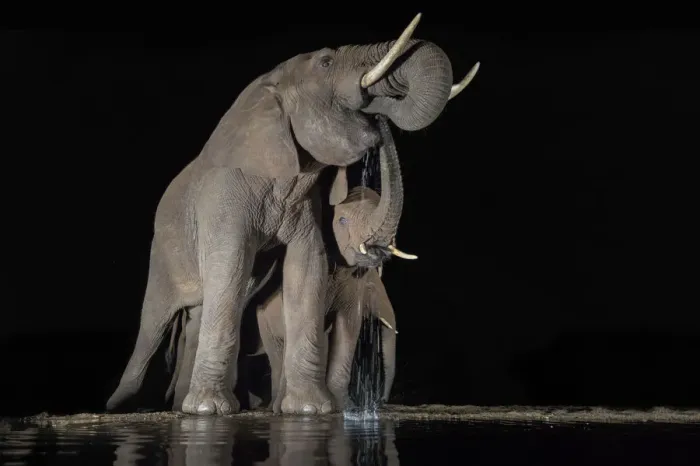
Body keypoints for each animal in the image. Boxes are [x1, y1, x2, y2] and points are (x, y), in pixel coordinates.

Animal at [106, 13, 479, 415]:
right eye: (326, 62)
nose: (375, 118)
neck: (267, 87)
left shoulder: (304, 208)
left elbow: (306, 268)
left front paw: (309, 410)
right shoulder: (223, 199)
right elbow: (230, 268)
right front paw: (211, 412)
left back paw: (178, 406)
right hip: (164, 252)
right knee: (154, 324)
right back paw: (123, 407)